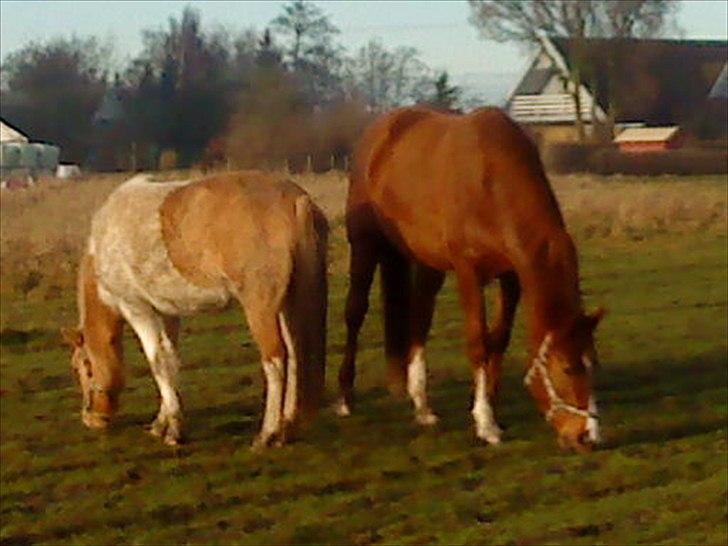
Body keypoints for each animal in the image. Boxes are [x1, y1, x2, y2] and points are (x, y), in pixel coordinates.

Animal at [61, 170, 328, 446]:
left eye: (84, 368)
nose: (91, 418)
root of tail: (295, 200)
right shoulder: (167, 312)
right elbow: (170, 361)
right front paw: (162, 423)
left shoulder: (137, 308)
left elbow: (157, 362)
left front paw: (174, 430)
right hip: (286, 302)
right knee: (296, 353)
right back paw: (287, 425)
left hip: (260, 309)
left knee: (275, 360)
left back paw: (268, 432)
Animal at [338, 106, 604, 450]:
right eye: (568, 368)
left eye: (593, 364)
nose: (587, 437)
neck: (490, 183)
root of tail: (382, 129)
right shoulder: (468, 272)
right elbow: (478, 343)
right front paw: (485, 423)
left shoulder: (511, 277)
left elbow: (499, 339)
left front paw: (491, 404)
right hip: (365, 243)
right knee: (355, 312)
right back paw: (345, 398)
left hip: (426, 261)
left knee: (420, 316)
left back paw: (422, 406)